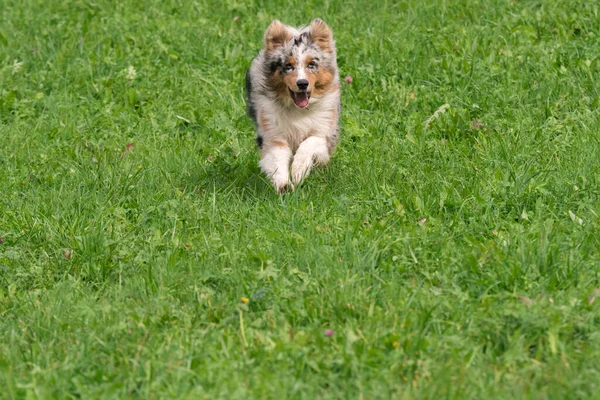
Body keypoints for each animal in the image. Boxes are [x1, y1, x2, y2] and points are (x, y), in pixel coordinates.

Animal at [244, 19, 338, 194]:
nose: (302, 83)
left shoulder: (323, 133)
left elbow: (308, 144)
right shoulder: (273, 136)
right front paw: (284, 186)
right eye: (288, 66)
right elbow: (277, 160)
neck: (298, 110)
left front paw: (298, 171)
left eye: (311, 64)